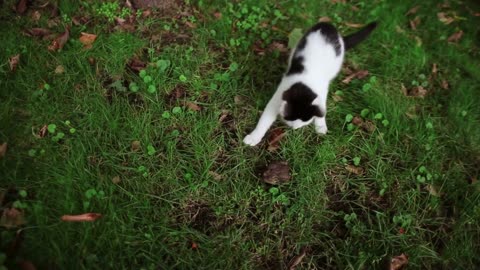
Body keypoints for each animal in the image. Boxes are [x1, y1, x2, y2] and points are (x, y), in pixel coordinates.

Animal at [246, 22, 376, 147]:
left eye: (305, 121)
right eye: (291, 118)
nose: (294, 128)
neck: (304, 86)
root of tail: (328, 26)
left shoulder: (322, 92)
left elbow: (321, 110)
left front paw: (320, 126)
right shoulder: (281, 93)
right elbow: (265, 119)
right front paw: (254, 137)